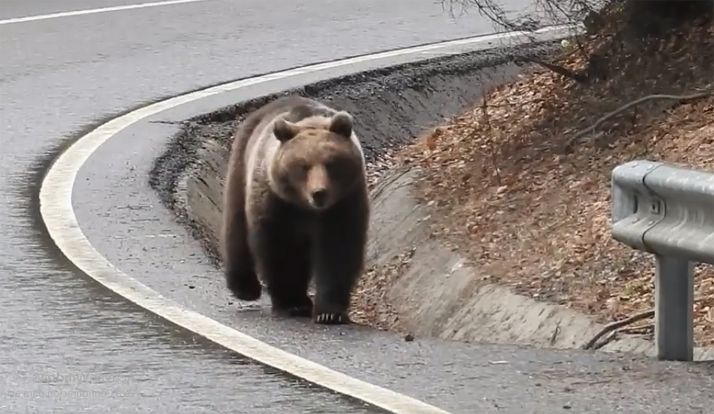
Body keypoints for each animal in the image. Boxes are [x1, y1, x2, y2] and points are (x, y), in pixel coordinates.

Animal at [221, 95, 370, 325]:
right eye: (303, 166)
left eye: (331, 163)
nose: (319, 193)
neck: (305, 207)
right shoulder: (277, 204)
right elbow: (280, 249)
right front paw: (292, 303)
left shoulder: (344, 203)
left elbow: (338, 250)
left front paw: (330, 312)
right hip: (241, 167)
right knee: (236, 226)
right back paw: (245, 288)